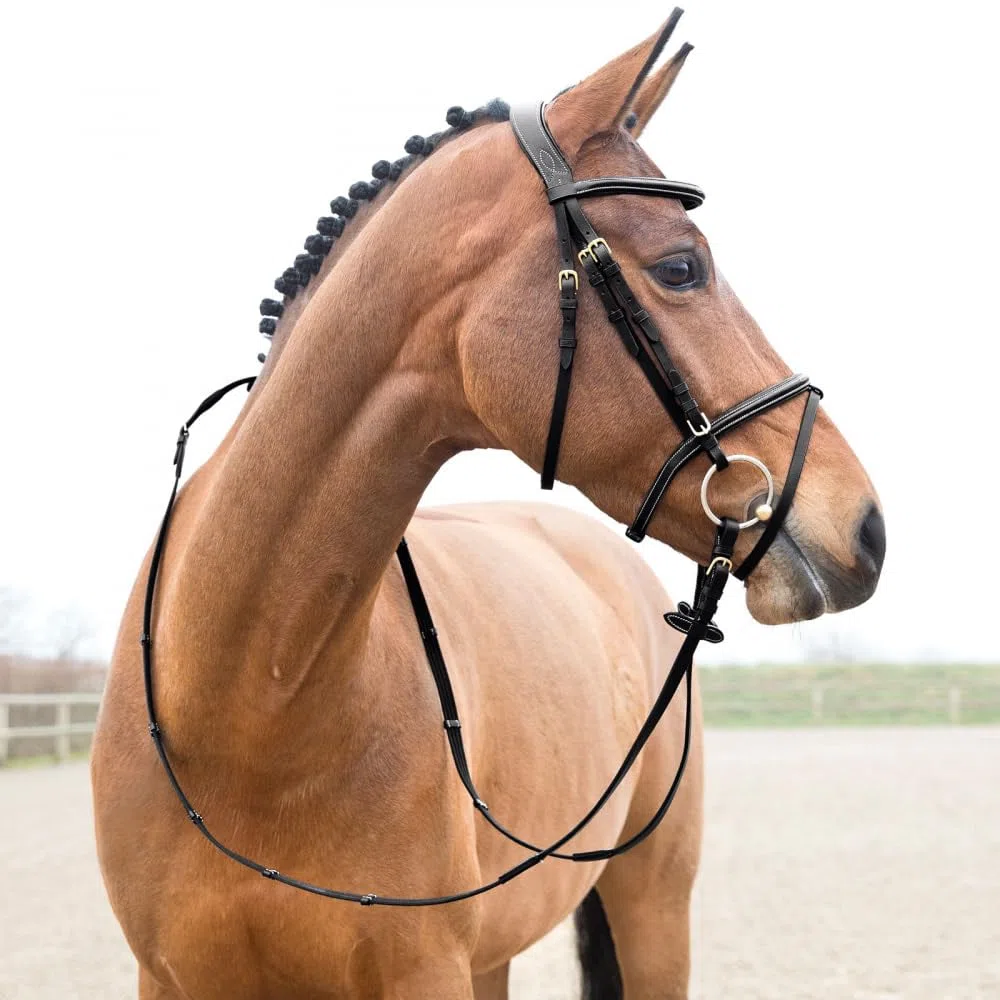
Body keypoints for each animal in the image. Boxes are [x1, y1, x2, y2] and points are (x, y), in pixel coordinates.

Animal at [92, 15, 884, 999]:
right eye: (680, 267)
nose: (865, 528)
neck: (246, 707)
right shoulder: (169, 977)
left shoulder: (424, 971)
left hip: (654, 905)